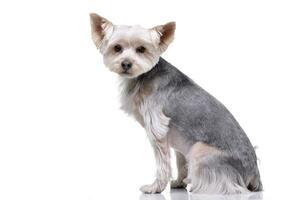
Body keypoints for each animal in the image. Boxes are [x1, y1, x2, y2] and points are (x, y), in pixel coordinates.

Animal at [89, 13, 262, 195]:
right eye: (117, 48)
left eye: (141, 49)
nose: (126, 64)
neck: (143, 76)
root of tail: (255, 175)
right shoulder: (178, 139)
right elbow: (180, 161)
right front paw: (179, 182)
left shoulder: (157, 128)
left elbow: (163, 164)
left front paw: (155, 188)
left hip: (200, 150)